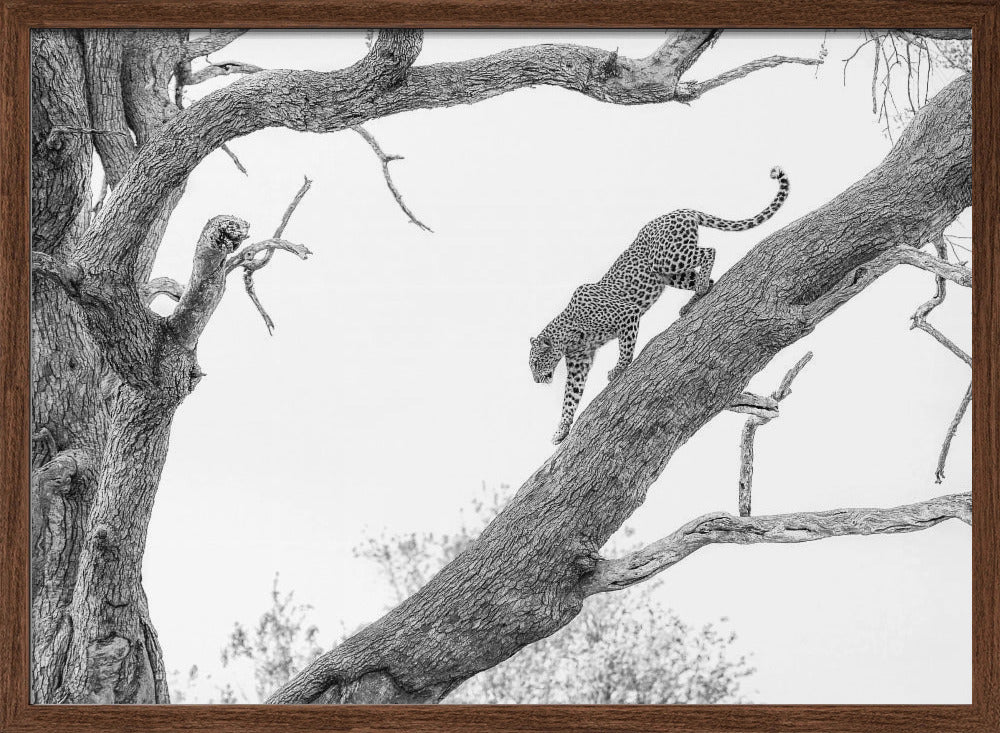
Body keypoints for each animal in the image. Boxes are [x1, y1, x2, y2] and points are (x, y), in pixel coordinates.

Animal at [530, 166, 790, 445]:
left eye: (535, 363)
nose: (535, 381)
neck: (568, 335)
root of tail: (680, 210)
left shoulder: (627, 315)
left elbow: (625, 349)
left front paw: (618, 370)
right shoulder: (579, 362)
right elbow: (570, 397)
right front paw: (561, 430)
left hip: (667, 258)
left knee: (709, 251)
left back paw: (700, 289)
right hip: (668, 274)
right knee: (705, 275)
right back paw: (694, 300)